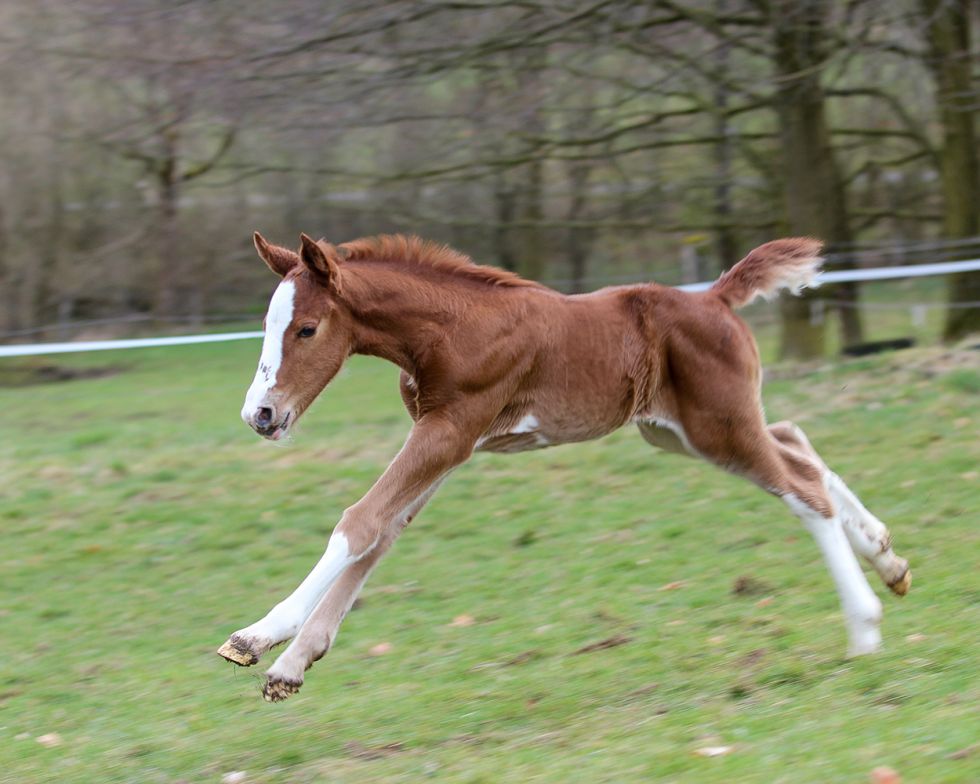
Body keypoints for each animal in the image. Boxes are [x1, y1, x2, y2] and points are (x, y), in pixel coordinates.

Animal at [220, 230, 912, 700]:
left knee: (803, 488)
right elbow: (380, 535)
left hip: (718, 427)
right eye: (269, 326)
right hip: (679, 431)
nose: (259, 414)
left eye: (306, 329)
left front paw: (256, 637)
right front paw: (291, 665)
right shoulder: (444, 442)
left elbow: (360, 522)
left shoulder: (451, 431)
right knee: (797, 444)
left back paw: (864, 631)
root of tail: (716, 297)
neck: (450, 328)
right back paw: (888, 560)